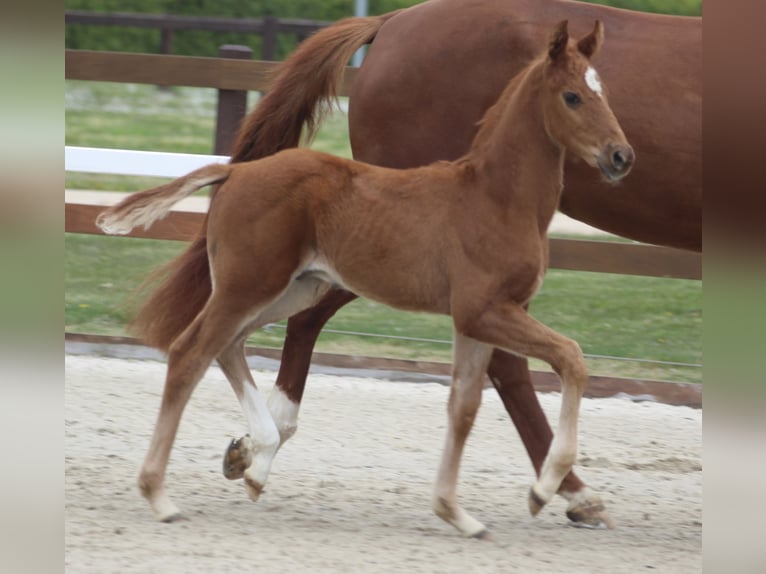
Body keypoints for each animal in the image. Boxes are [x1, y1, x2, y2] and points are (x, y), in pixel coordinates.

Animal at [97, 20, 634, 537]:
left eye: (605, 91)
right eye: (572, 96)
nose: (621, 156)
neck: (496, 199)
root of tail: (236, 173)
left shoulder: (476, 321)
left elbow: (463, 408)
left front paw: (455, 514)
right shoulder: (484, 311)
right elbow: (571, 358)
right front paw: (543, 492)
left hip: (291, 289)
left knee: (227, 346)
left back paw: (254, 459)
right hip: (247, 286)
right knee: (191, 352)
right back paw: (160, 496)